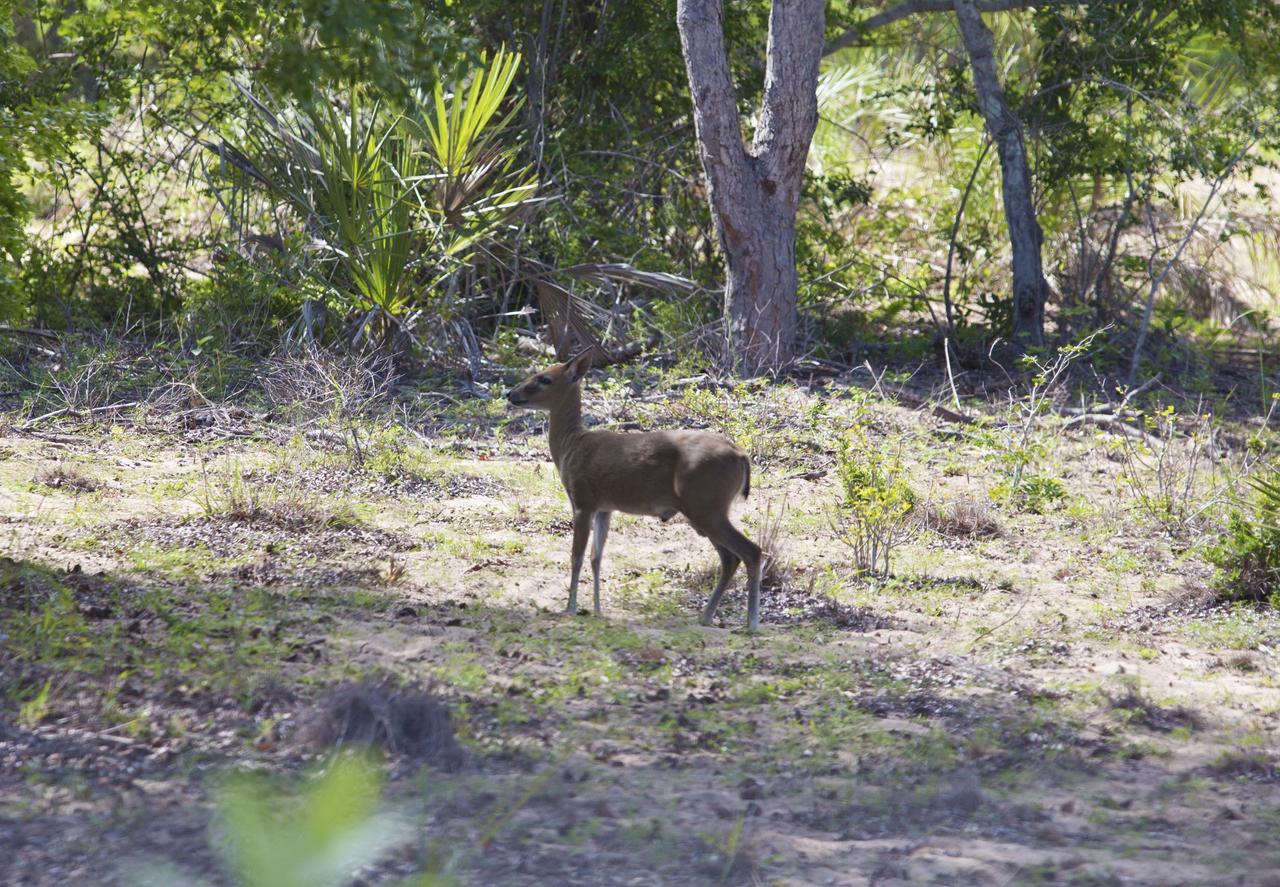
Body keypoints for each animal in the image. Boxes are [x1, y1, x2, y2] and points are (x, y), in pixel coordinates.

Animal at [501, 348, 757, 629]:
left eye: (544, 379)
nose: (511, 394)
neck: (571, 445)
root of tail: (741, 455)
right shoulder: (605, 507)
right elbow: (597, 557)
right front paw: (597, 610)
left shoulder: (582, 500)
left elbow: (576, 556)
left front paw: (570, 608)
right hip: (704, 510)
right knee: (730, 557)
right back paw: (707, 616)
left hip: (706, 506)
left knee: (750, 551)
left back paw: (751, 624)